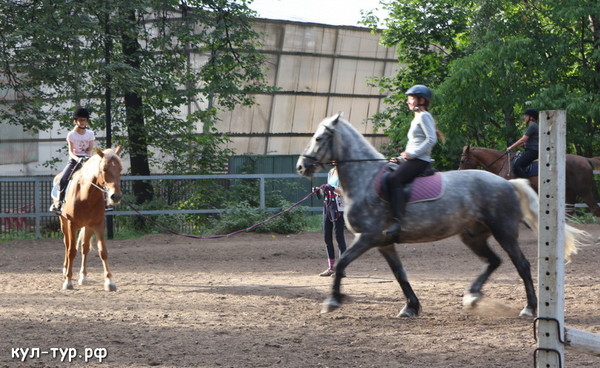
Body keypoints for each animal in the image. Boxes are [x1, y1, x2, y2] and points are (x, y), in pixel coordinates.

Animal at [53, 146, 123, 290]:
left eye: (120, 169)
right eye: (104, 169)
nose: (116, 196)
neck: (86, 195)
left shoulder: (98, 224)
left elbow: (103, 251)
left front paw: (109, 282)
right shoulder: (71, 224)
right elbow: (71, 251)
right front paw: (68, 281)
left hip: (87, 226)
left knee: (84, 248)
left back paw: (83, 277)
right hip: (63, 223)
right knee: (67, 244)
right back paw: (65, 270)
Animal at [296, 115, 584, 320]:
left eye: (320, 138)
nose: (301, 166)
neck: (366, 180)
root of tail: (507, 182)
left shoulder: (367, 237)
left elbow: (342, 263)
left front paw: (332, 301)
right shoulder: (384, 243)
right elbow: (400, 274)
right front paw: (410, 307)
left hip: (504, 232)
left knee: (521, 264)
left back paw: (529, 308)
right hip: (473, 236)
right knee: (494, 261)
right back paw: (472, 296)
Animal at [460, 145, 600, 217]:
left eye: (463, 160)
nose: (459, 171)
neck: (502, 163)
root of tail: (585, 159)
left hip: (584, 191)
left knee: (595, 209)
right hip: (570, 192)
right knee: (570, 212)